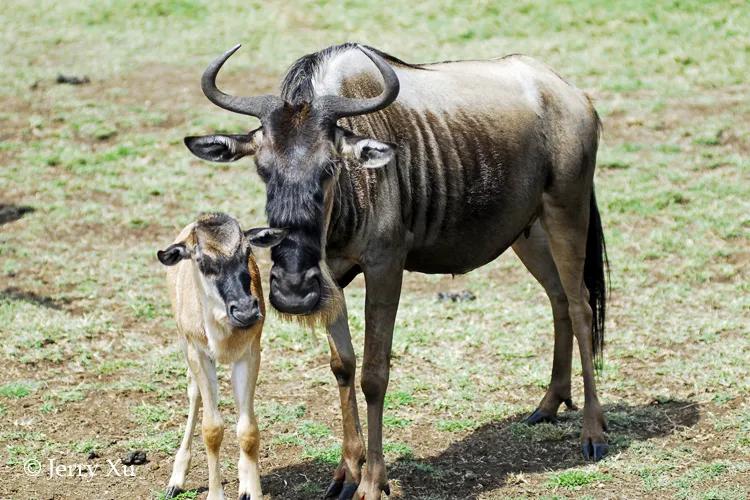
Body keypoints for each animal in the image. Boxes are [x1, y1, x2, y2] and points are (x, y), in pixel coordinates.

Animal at [157, 213, 286, 498]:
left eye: (247, 251)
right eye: (202, 260)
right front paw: (215, 493)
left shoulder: (250, 353)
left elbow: (248, 430)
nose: (246, 311)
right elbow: (212, 429)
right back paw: (175, 480)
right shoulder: (197, 353)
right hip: (185, 346)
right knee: (194, 394)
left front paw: (253, 490)